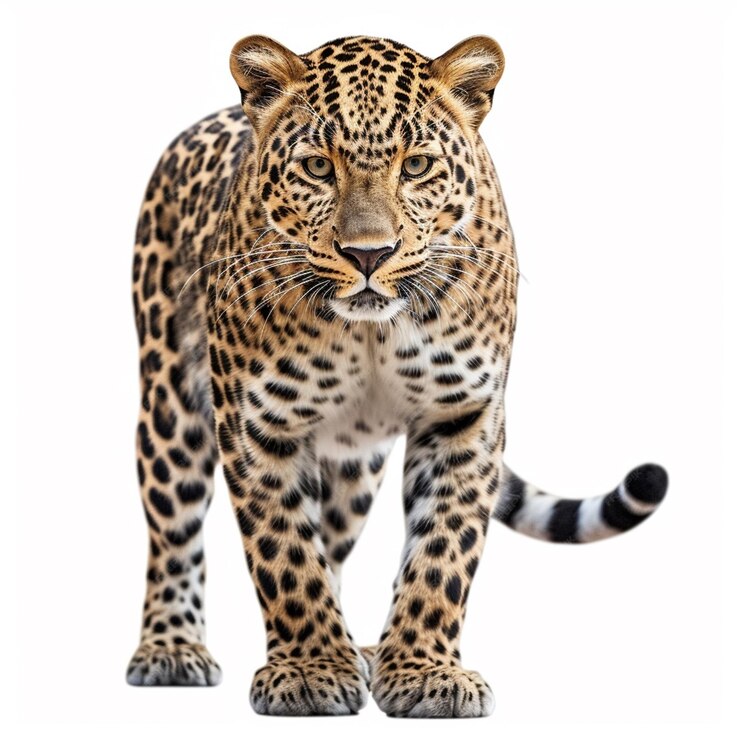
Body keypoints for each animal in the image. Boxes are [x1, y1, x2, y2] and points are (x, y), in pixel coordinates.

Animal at [126, 34, 668, 718]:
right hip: (169, 404)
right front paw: (309, 670)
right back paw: (172, 648)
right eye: (317, 167)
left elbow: (442, 552)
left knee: (332, 540)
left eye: (415, 166)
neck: (370, 331)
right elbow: (285, 552)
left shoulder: (463, 416)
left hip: (356, 465)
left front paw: (423, 671)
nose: (368, 254)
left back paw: (361, 650)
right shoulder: (257, 424)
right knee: (173, 528)